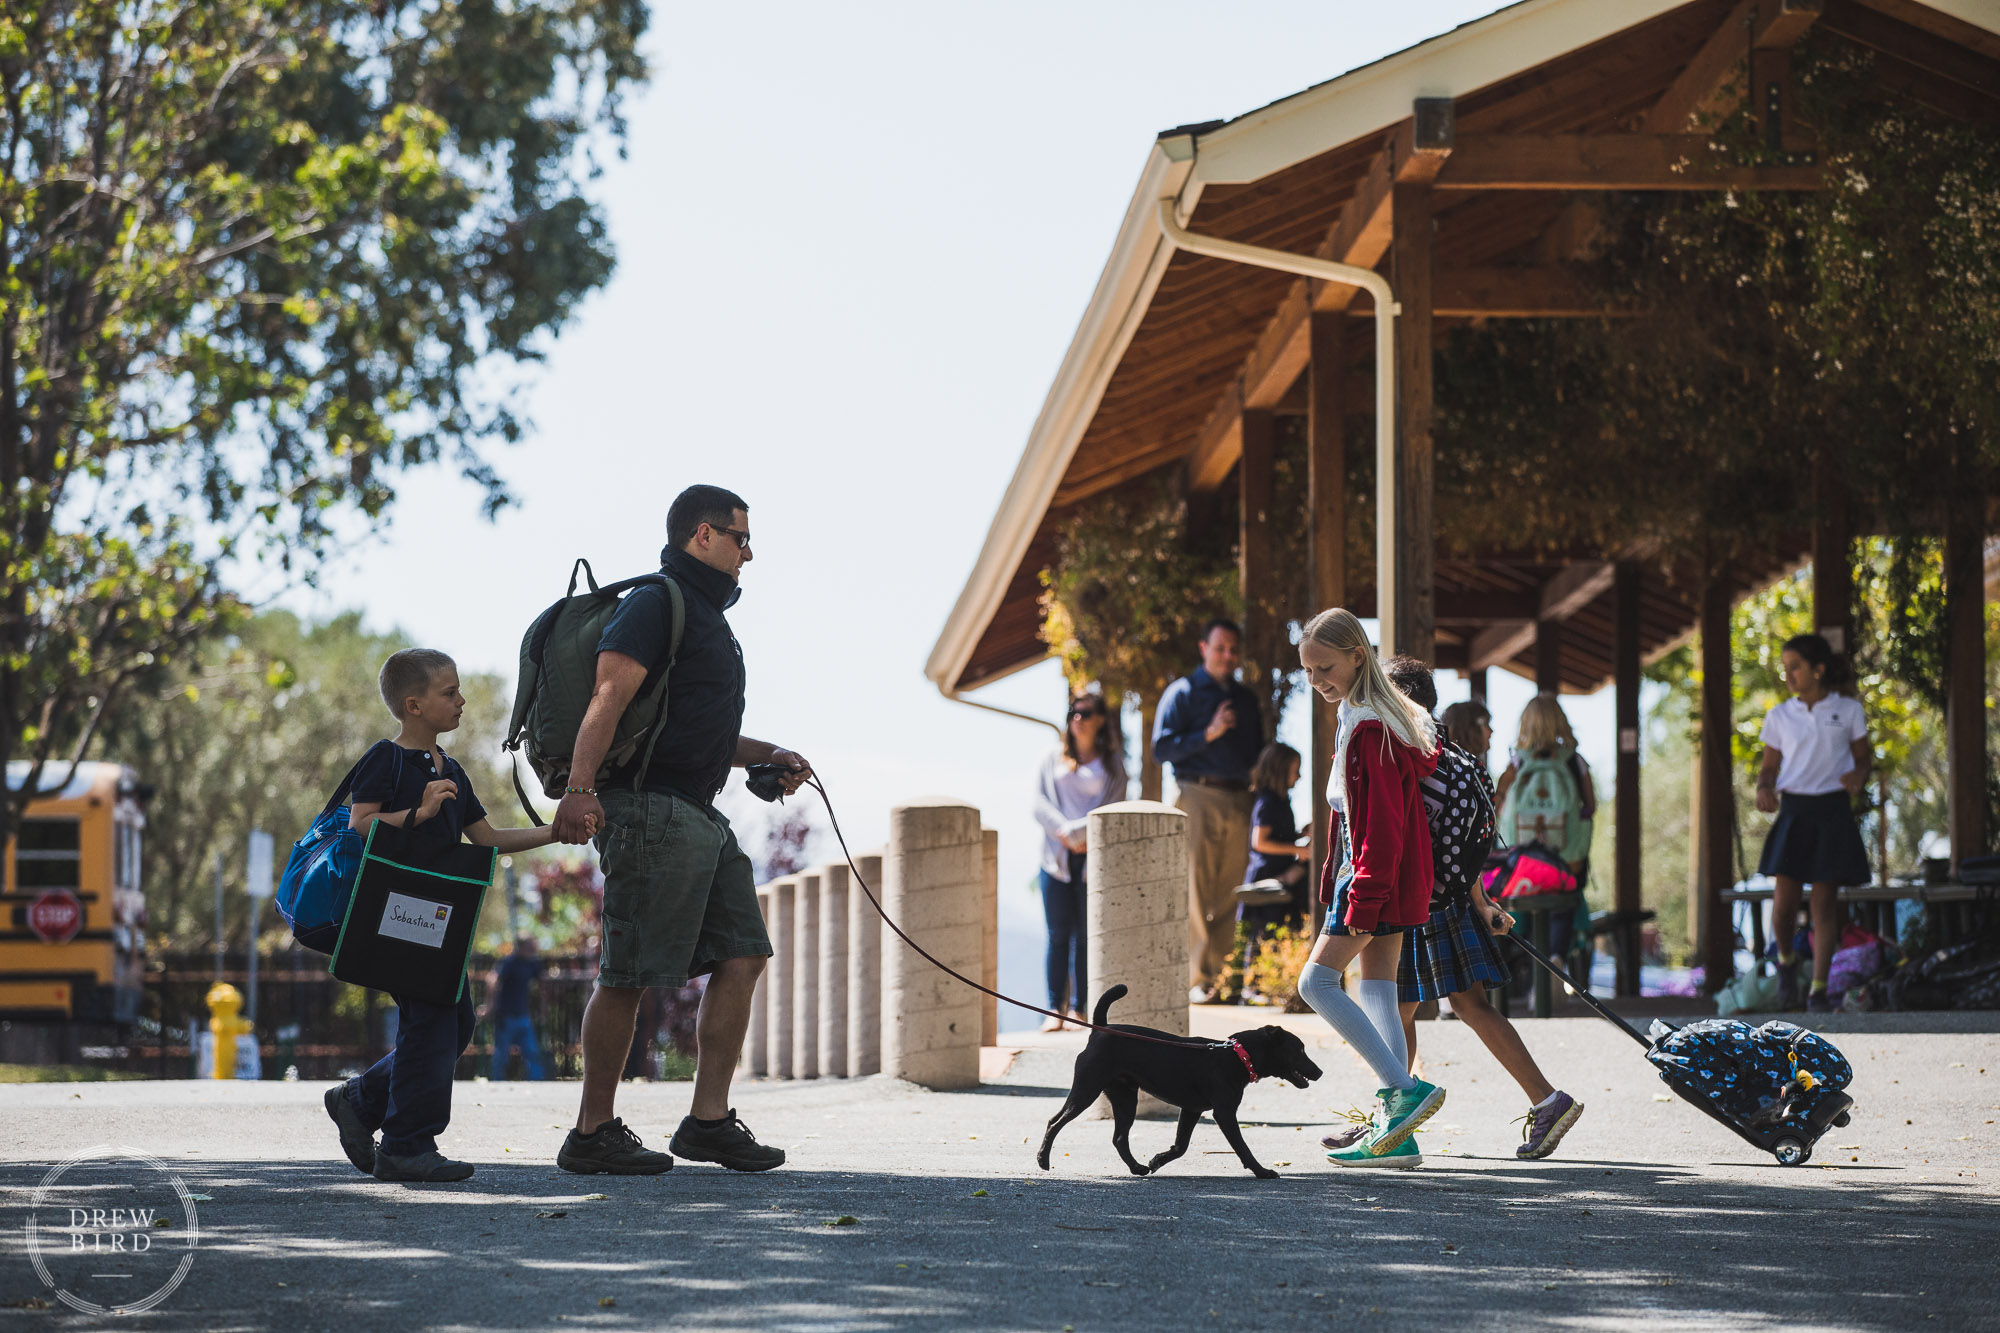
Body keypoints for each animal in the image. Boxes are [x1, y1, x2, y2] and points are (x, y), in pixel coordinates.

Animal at [1040, 980, 1320, 1176]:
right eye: (1300, 1050)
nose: (1319, 1072)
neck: (1237, 1055)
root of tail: (1101, 1030)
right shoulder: (1224, 1113)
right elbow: (1242, 1146)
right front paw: (1262, 1171)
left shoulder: (1192, 1109)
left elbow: (1181, 1145)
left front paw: (1158, 1160)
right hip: (1087, 1089)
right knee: (1054, 1122)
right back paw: (1043, 1160)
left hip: (1125, 1099)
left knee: (1119, 1137)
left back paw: (1137, 1168)